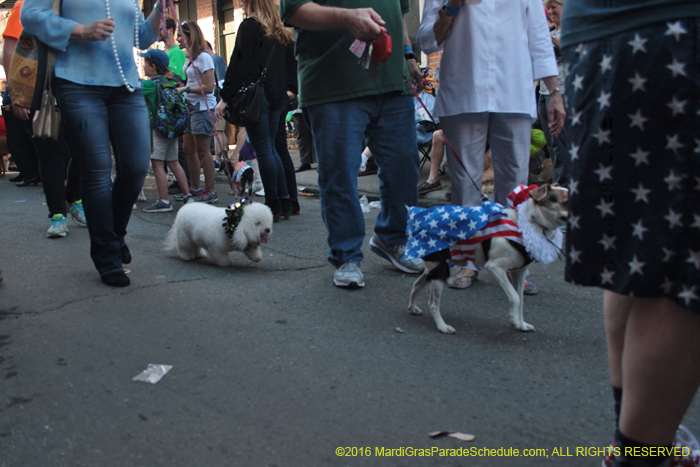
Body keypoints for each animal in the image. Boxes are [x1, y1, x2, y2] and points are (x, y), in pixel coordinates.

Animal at [408, 185, 568, 334]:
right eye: (566, 201)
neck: (525, 224)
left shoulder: (519, 272)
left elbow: (521, 300)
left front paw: (521, 324)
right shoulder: (495, 268)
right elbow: (515, 297)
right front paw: (514, 320)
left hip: (433, 268)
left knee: (416, 284)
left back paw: (413, 308)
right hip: (440, 271)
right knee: (433, 304)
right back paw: (442, 326)